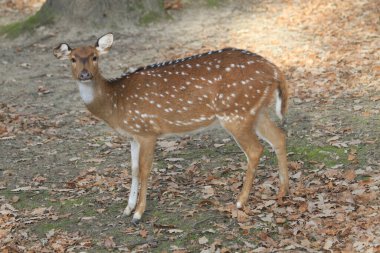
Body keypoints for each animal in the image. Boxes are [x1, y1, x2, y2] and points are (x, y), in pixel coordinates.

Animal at [53, 33, 290, 223]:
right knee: (279, 137)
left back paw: (240, 201)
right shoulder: (132, 136)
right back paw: (282, 191)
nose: (85, 74)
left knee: (255, 150)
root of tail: (275, 71)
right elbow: (133, 169)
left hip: (235, 112)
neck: (115, 104)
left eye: (95, 57)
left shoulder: (147, 130)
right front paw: (127, 209)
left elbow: (145, 169)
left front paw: (138, 214)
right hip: (255, 111)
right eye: (73, 59)